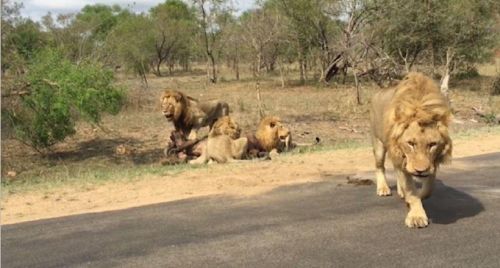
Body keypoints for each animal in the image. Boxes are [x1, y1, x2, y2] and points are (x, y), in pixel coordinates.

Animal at [372, 71, 454, 228]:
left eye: (432, 144)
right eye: (410, 143)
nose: (420, 171)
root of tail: (380, 90)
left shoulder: (432, 163)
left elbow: (427, 190)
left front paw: (414, 199)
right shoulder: (403, 158)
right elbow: (411, 191)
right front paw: (416, 216)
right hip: (379, 143)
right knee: (380, 167)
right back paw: (383, 189)